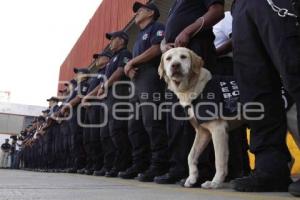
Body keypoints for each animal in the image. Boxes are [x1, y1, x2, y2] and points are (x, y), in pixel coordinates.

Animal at [158, 47, 298, 189]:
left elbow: (219, 160)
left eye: (183, 57)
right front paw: (192, 179)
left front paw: (214, 182)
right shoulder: (203, 132)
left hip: (294, 123)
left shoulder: (218, 130)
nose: (175, 65)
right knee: (290, 158)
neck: (193, 87)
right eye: (168, 58)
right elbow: (191, 156)